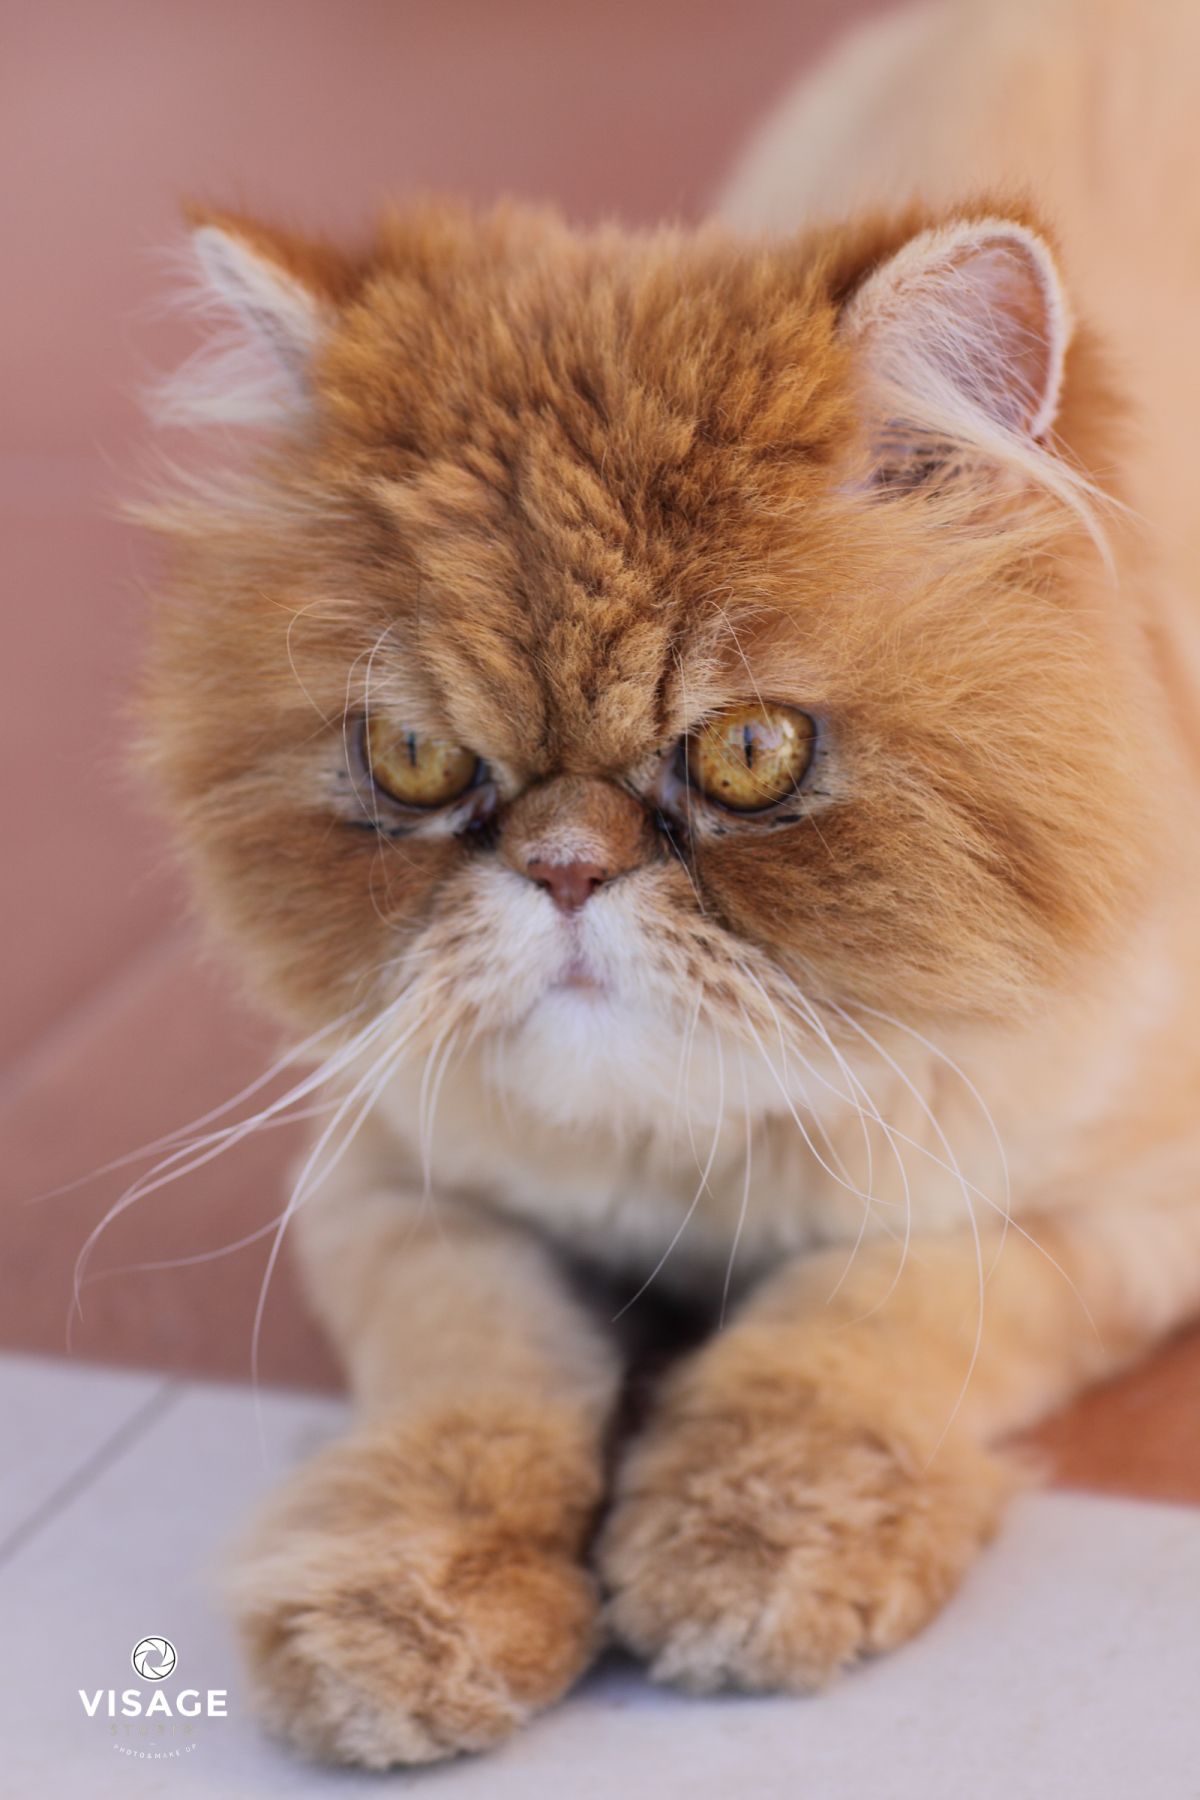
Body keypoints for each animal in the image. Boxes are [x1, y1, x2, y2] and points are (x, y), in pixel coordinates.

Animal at [135, 0, 1200, 1771]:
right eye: (417, 759)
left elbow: (852, 1329)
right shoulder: (394, 1186)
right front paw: (407, 1605)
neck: (683, 1158)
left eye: (752, 754)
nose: (567, 868)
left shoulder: (1100, 1213)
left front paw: (744, 1544)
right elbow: (475, 1381)